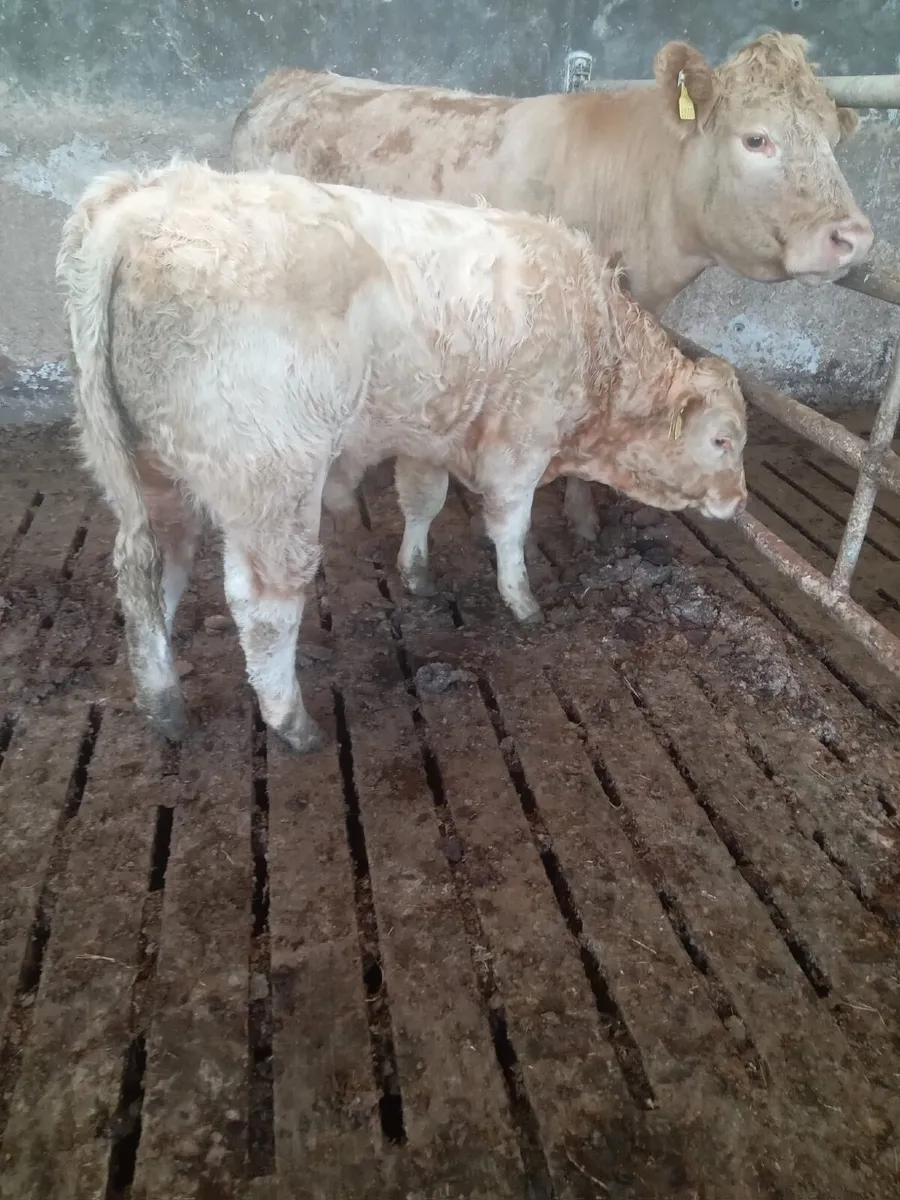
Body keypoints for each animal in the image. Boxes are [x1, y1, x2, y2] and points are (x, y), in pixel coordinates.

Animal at [58, 161, 747, 754]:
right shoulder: (520, 441)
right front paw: (522, 601)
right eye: (722, 440)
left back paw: (162, 702)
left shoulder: (430, 435)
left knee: (149, 575)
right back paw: (291, 722)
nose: (739, 502)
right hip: (270, 477)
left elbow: (423, 501)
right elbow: (510, 527)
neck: (596, 341)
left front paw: (416, 573)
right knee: (263, 604)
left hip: (146, 469)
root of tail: (143, 202)